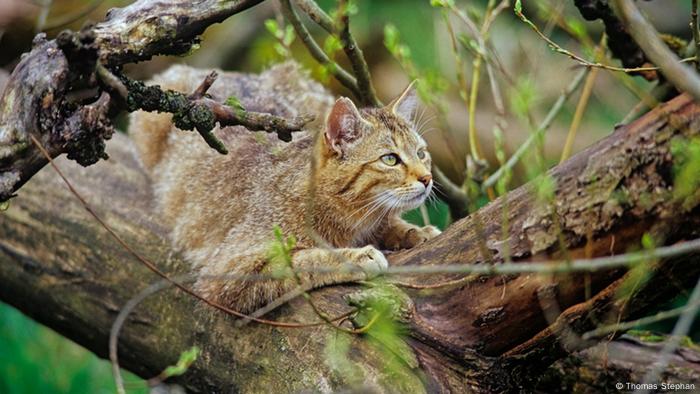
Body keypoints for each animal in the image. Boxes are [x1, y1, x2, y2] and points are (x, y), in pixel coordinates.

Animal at [129, 62, 440, 314]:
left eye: (421, 153)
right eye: (390, 159)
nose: (427, 178)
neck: (353, 217)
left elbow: (392, 224)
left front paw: (415, 232)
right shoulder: (226, 271)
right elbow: (300, 261)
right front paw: (355, 255)